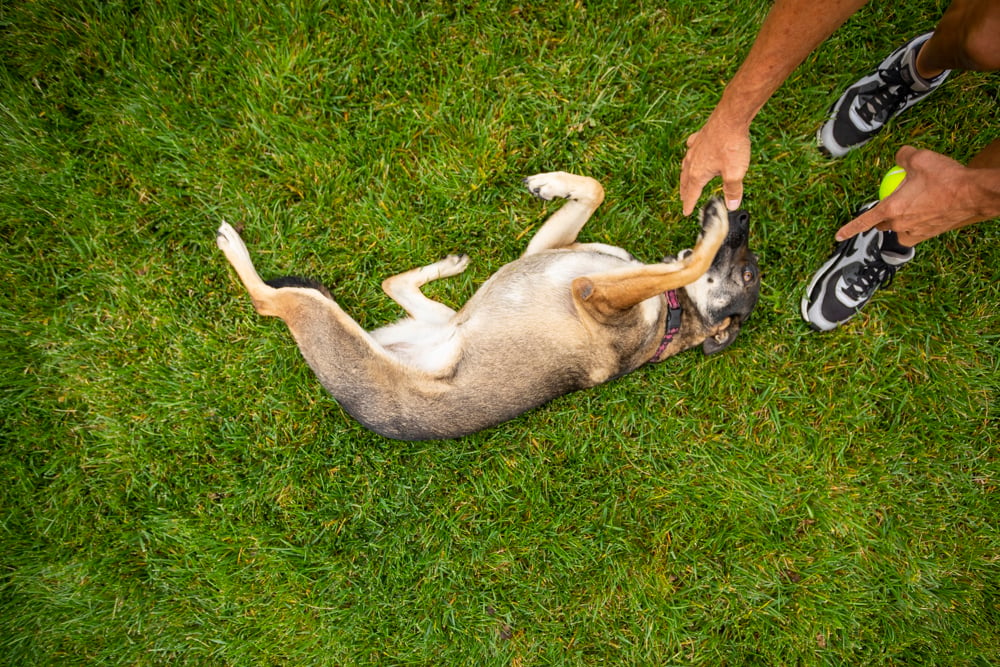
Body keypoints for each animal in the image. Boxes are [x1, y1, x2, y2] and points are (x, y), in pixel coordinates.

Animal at [217, 172, 756, 440]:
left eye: (750, 274)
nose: (743, 213)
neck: (673, 314)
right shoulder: (550, 253)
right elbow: (595, 189)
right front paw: (552, 182)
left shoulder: (589, 289)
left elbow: (688, 264)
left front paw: (711, 227)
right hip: (442, 318)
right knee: (393, 283)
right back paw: (448, 265)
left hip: (325, 324)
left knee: (267, 300)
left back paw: (231, 245)